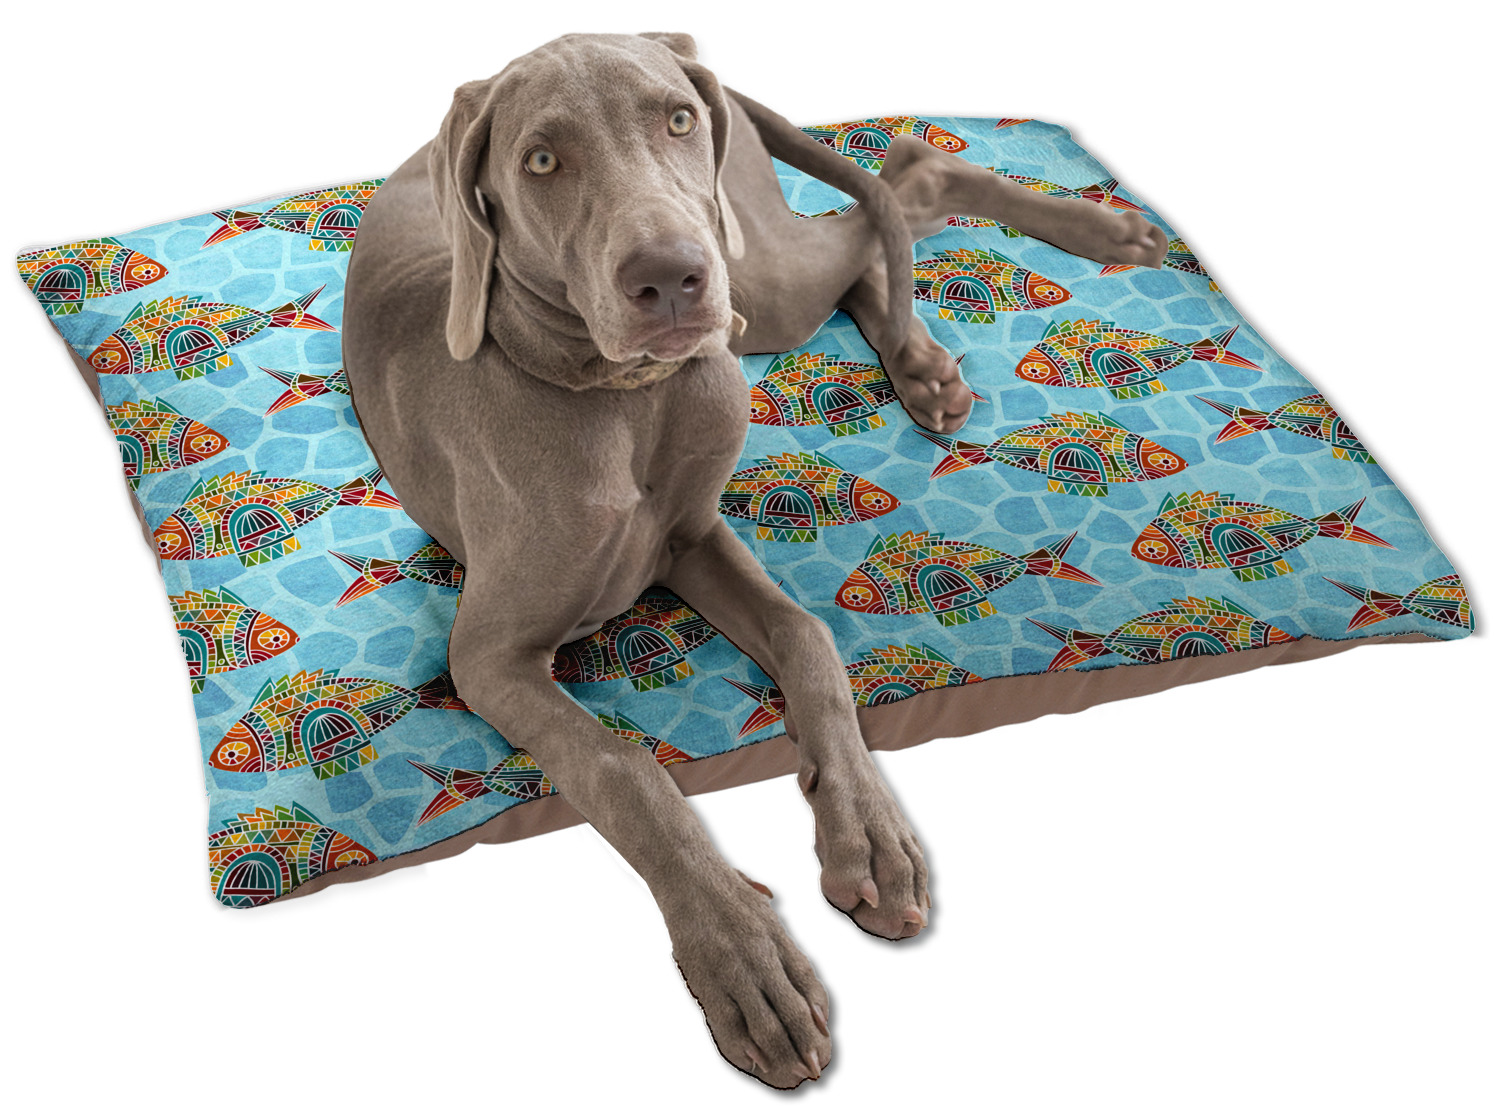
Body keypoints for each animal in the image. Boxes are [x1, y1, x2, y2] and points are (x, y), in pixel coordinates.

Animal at [343, 31, 1166, 1088]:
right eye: (541, 161)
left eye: (675, 121)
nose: (671, 278)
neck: (624, 399)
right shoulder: (487, 656)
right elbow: (624, 770)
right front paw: (742, 960)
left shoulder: (697, 540)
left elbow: (809, 637)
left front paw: (871, 835)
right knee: (881, 214)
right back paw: (933, 358)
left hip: (755, 275)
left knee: (898, 182)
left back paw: (1092, 241)